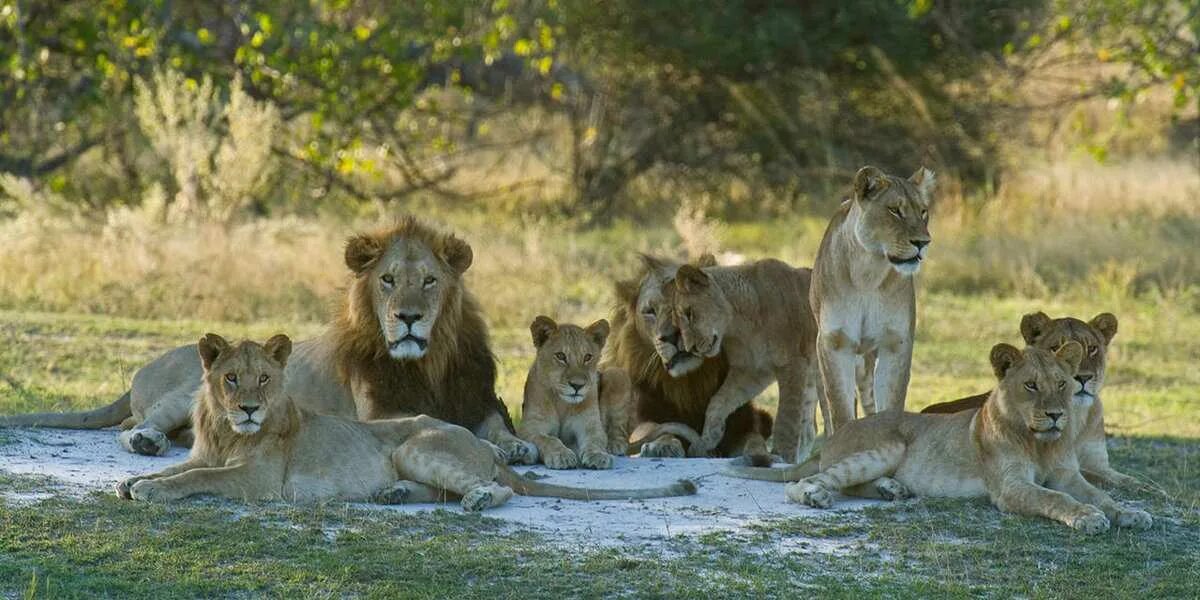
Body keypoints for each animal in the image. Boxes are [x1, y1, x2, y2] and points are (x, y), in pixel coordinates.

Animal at [114, 333, 696, 511]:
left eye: (264, 379)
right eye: (231, 379)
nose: (250, 409)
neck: (224, 428)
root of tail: (485, 447)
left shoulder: (258, 481)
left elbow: (196, 478)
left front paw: (150, 489)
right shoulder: (205, 453)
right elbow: (177, 468)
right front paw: (134, 479)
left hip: (414, 445)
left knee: (497, 489)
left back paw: (478, 500)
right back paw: (392, 495)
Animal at [525, 314, 638, 468]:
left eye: (587, 357)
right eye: (560, 356)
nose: (577, 385)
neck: (562, 403)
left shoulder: (590, 425)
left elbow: (595, 441)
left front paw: (598, 456)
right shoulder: (530, 428)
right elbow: (549, 440)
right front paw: (562, 455)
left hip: (617, 374)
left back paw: (615, 445)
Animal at [672, 259, 820, 463]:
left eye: (689, 313)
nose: (690, 348)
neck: (739, 324)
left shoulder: (793, 364)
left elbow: (786, 419)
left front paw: (781, 456)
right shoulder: (752, 371)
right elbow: (718, 402)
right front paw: (706, 441)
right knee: (809, 430)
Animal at [782, 343, 1147, 535]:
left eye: (1061, 384)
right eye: (1031, 385)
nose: (1057, 415)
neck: (1040, 443)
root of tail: (838, 432)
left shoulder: (1068, 475)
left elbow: (1101, 495)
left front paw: (1130, 513)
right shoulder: (1009, 487)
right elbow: (1055, 498)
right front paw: (1088, 517)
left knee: (853, 486)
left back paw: (892, 490)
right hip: (887, 448)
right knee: (812, 482)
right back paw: (816, 496)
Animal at [811, 164, 931, 429]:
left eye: (923, 212)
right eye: (895, 210)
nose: (923, 243)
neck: (869, 272)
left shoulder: (896, 342)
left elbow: (891, 403)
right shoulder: (835, 343)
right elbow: (840, 409)